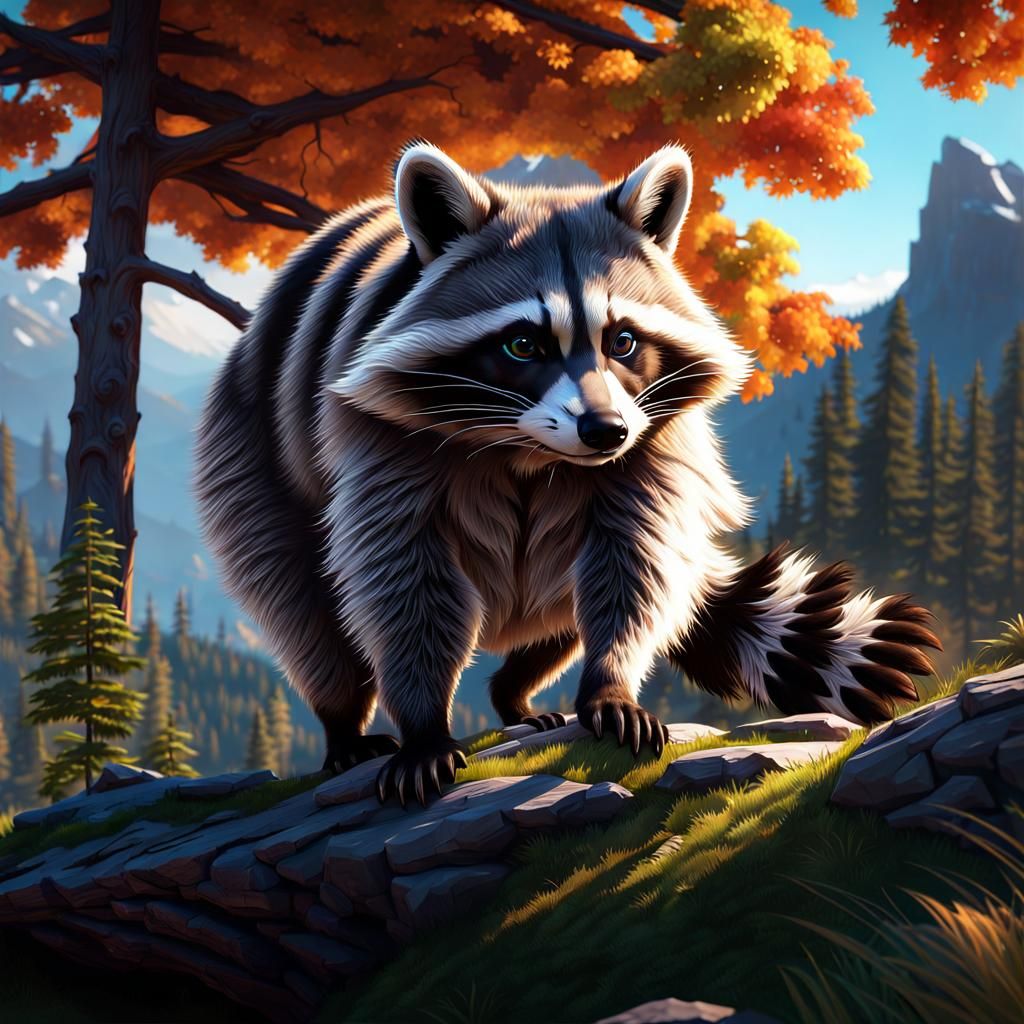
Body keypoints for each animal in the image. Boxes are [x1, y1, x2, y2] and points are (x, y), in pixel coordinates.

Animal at [195, 142, 941, 806]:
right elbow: (401, 576)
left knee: (577, 589)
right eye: (523, 344)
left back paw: (517, 691)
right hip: (251, 447)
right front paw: (423, 718)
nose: (603, 431)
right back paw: (345, 718)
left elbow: (633, 560)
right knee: (300, 596)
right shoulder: (379, 438)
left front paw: (609, 681)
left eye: (624, 341)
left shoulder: (651, 438)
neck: (529, 449)